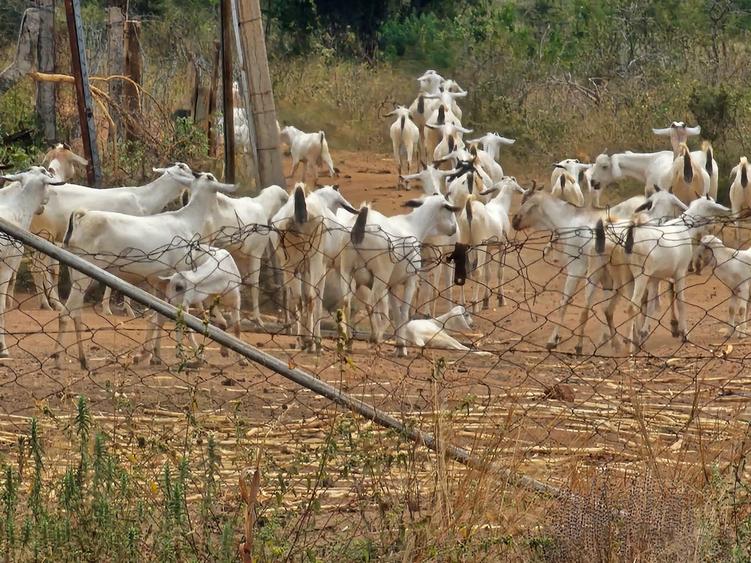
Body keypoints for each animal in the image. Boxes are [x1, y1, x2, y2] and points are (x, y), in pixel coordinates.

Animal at [56, 171, 236, 370]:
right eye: (210, 178)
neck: (187, 221)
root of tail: (82, 218)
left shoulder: (159, 282)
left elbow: (158, 316)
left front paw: (153, 355)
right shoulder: (181, 278)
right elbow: (178, 316)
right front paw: (195, 356)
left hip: (76, 274)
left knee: (76, 313)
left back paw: (81, 359)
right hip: (82, 277)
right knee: (66, 314)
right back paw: (61, 359)